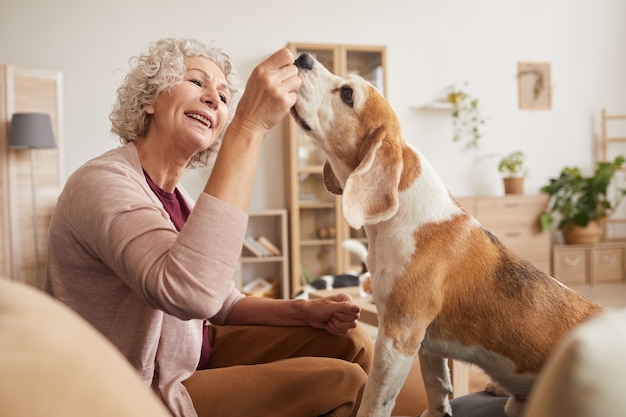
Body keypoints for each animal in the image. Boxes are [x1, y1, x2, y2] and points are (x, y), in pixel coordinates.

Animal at [290, 52, 604, 416]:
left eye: (347, 94)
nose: (302, 57)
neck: (399, 219)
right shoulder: (425, 342)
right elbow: (436, 384)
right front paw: (437, 411)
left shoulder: (399, 337)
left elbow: (375, 401)